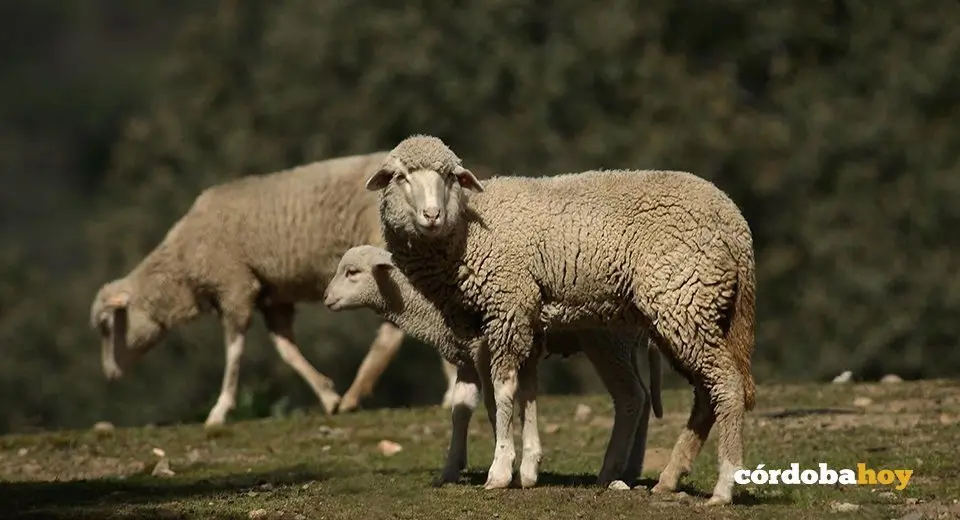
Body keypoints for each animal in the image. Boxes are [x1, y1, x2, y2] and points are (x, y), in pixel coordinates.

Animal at [88, 151, 492, 427]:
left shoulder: (235, 286)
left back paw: (358, 394)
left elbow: (234, 350)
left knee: (392, 331)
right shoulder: (272, 297)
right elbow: (286, 350)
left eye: (108, 326)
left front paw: (220, 409)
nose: (109, 375)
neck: (183, 267)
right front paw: (326, 394)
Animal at [322, 244, 664, 487]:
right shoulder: (467, 359)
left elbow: (493, 404)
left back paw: (609, 472)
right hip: (623, 345)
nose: (326, 299)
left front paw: (506, 464)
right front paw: (451, 469)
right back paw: (629, 470)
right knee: (643, 397)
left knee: (630, 397)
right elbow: (461, 410)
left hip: (606, 340)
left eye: (352, 272)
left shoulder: (485, 352)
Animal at [363, 135, 756, 505]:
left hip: (682, 298)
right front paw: (525, 468)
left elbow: (502, 392)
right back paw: (668, 478)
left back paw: (723, 486)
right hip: (686, 313)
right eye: (400, 177)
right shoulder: (517, 323)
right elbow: (520, 393)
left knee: (725, 384)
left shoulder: (508, 306)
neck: (468, 232)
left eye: (449, 176)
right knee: (704, 394)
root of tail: (737, 224)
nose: (432, 215)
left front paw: (500, 471)